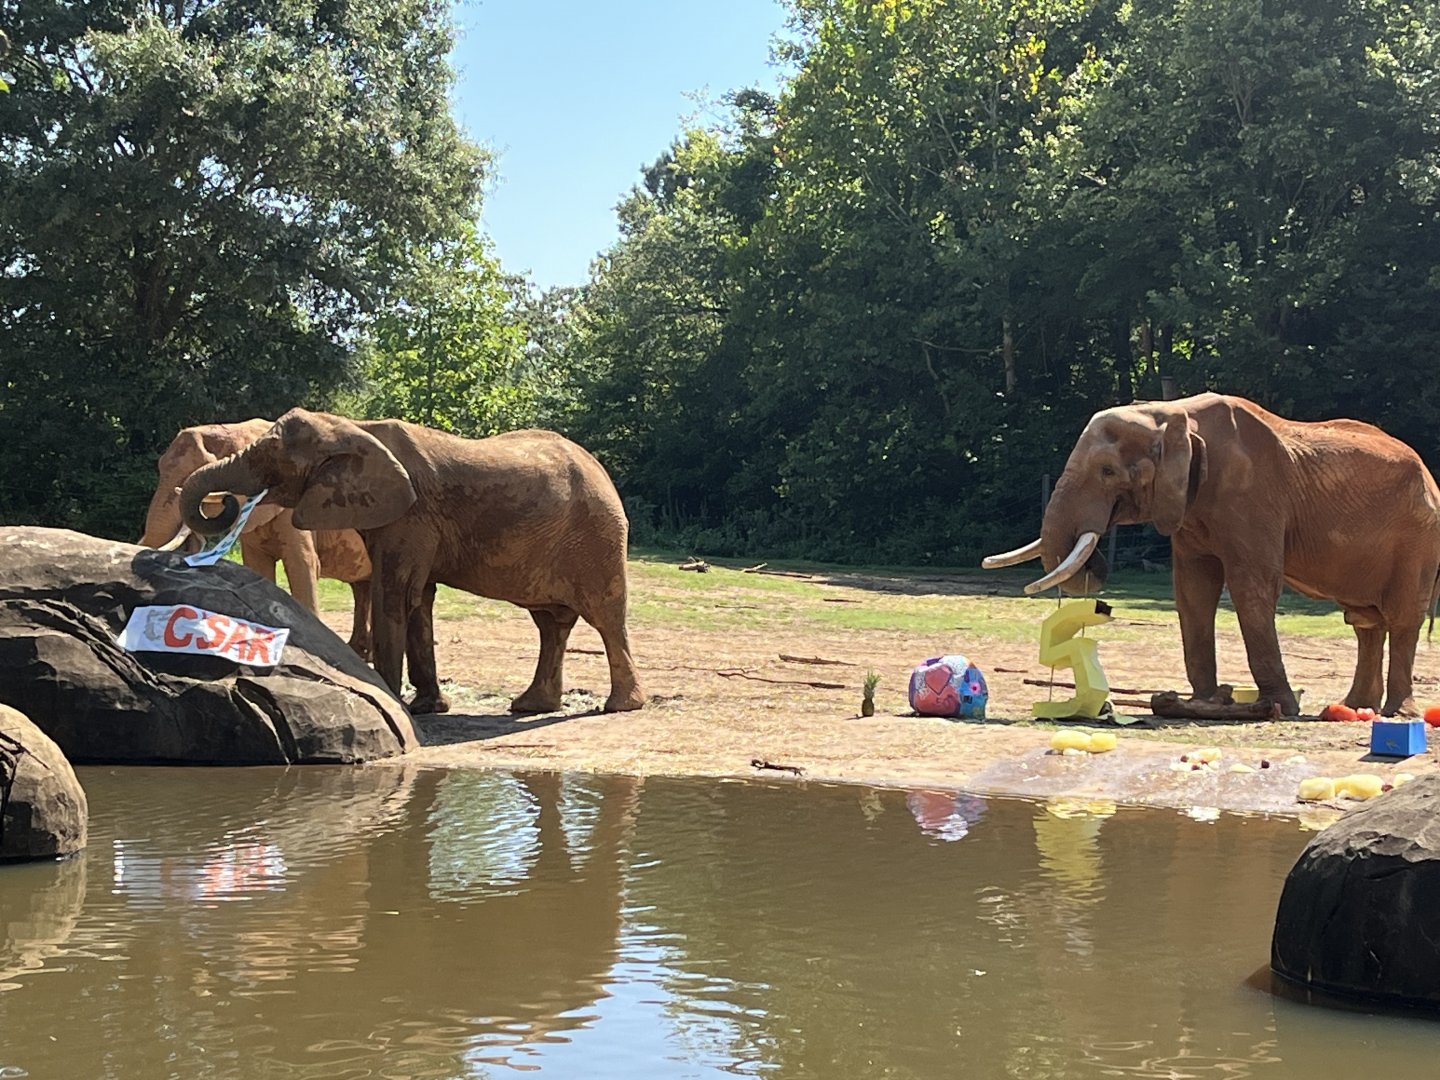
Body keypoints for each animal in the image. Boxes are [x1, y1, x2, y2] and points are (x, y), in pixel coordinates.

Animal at [177, 408, 646, 716]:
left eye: (270, 456)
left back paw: (619, 707)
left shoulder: (411, 516)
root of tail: (602, 470)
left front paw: (392, 699)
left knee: (605, 617)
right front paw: (427, 707)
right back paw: (530, 706)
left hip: (598, 537)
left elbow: (396, 593)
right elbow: (419, 598)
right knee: (551, 623)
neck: (354, 427)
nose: (224, 504)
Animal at [983, 392, 1440, 717]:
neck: (1171, 413)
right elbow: (1193, 589)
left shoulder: (1252, 494)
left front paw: (1280, 707)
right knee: (1365, 620)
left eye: (1108, 471)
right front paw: (1202, 701)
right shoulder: (1189, 506)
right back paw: (1353, 708)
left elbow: (1251, 587)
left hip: (1419, 534)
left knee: (1401, 617)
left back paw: (1396, 713)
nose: (1097, 569)